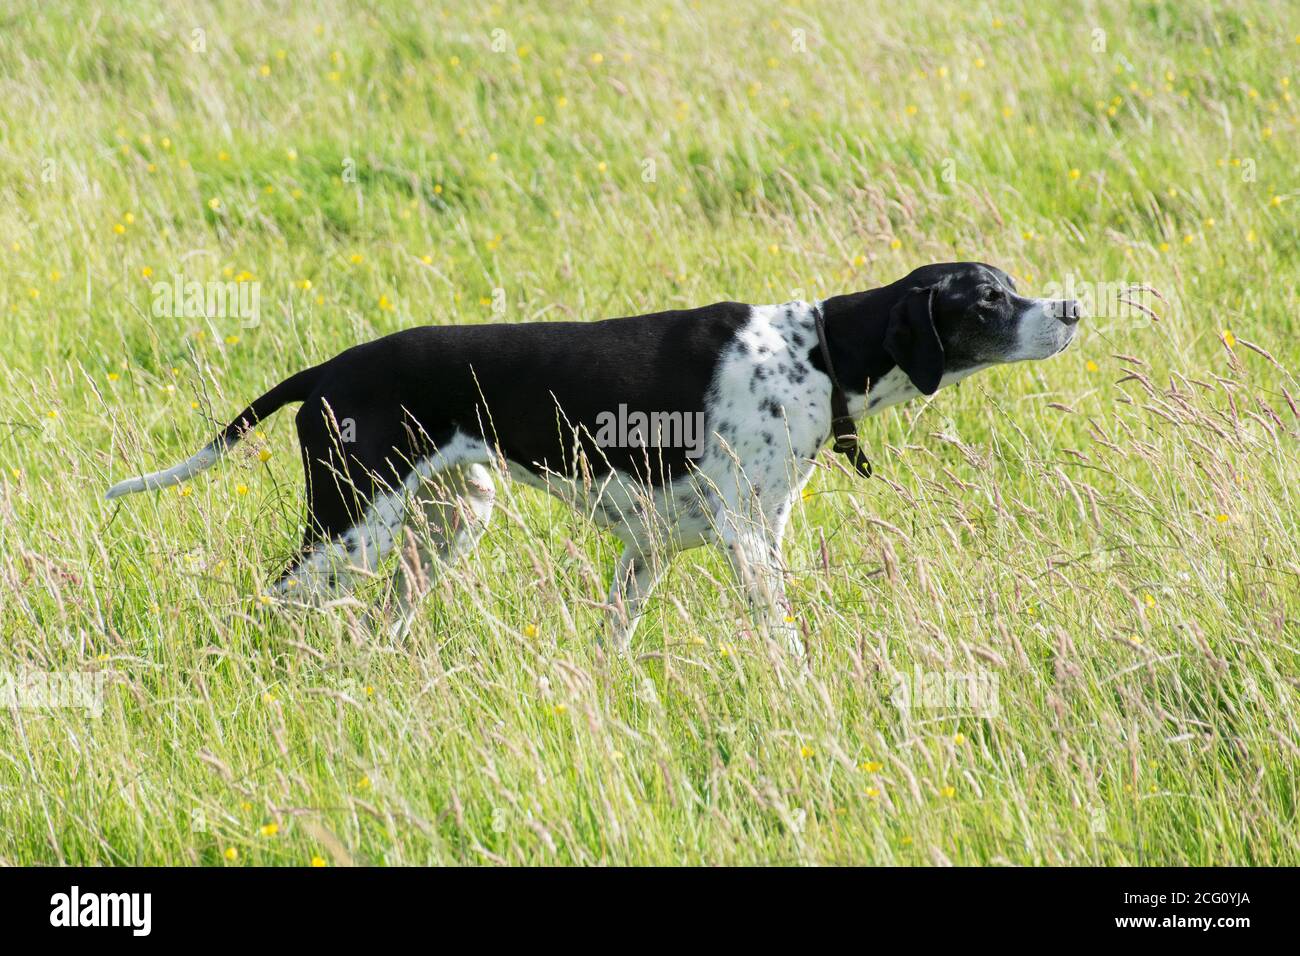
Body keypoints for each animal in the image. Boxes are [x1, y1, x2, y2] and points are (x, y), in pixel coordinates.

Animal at [106, 260, 1076, 658]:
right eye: (988, 300)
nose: (1073, 308)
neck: (818, 350)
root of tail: (329, 370)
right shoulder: (749, 543)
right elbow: (785, 641)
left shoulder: (645, 553)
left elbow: (613, 643)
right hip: (350, 529)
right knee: (271, 605)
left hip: (448, 523)